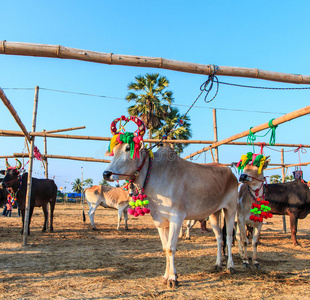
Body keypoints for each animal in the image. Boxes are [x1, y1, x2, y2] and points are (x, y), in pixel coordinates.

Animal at [103, 146, 237, 288]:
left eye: (128, 148)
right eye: (114, 150)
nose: (106, 173)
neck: (154, 175)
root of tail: (230, 172)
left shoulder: (177, 218)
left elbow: (171, 248)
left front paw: (173, 278)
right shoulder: (161, 222)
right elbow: (165, 248)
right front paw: (166, 276)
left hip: (230, 209)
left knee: (228, 237)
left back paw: (230, 266)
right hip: (214, 213)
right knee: (219, 238)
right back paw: (218, 264)